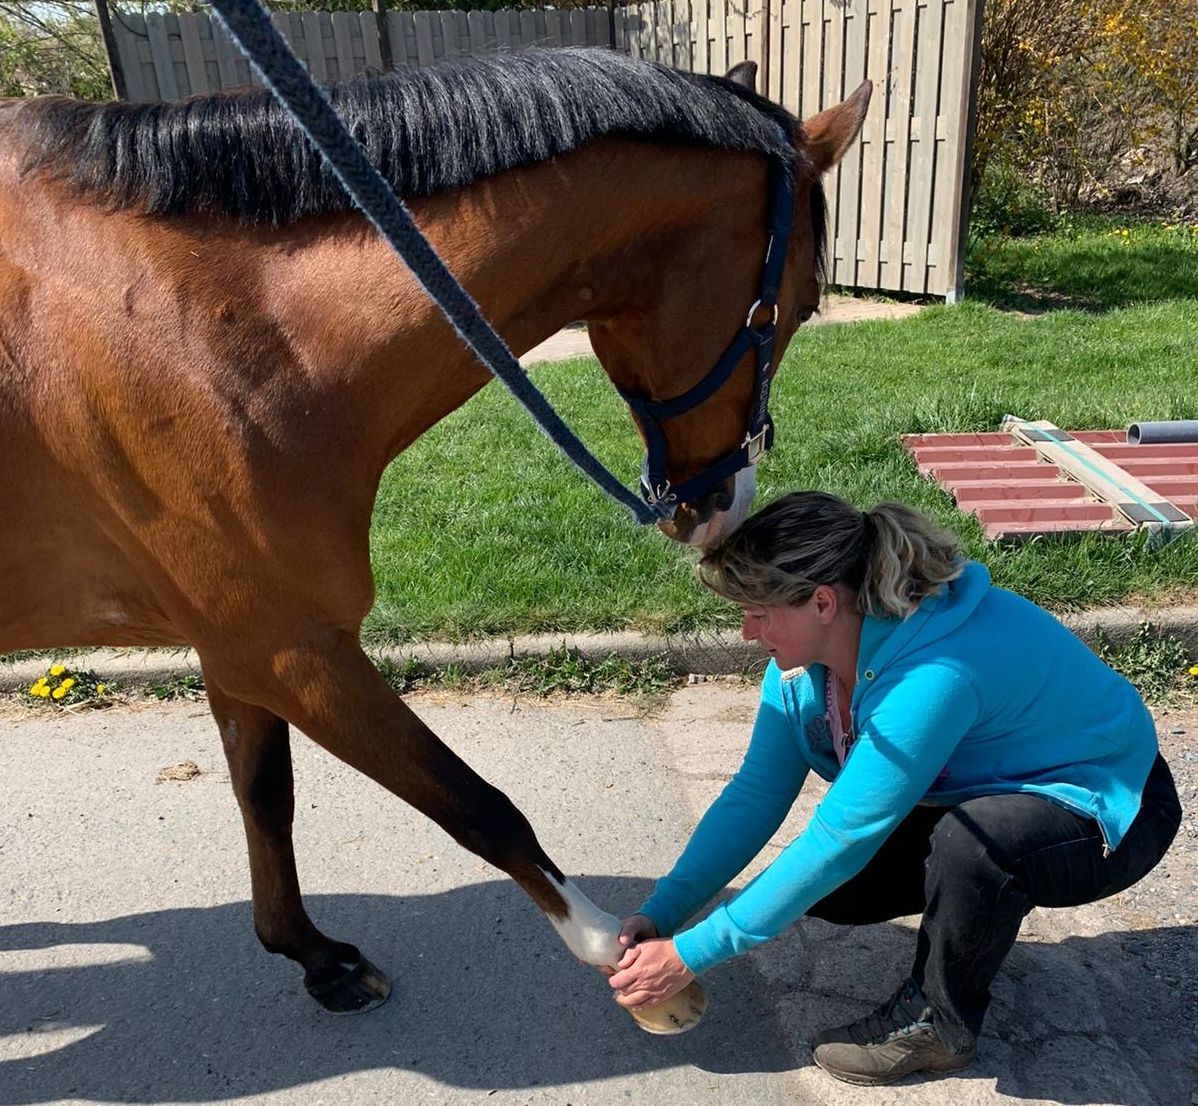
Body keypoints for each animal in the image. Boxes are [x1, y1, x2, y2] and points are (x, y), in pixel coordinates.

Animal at [0, 47, 872, 1035]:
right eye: (793, 308)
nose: (728, 506)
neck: (205, 328)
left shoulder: (239, 649)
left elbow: (266, 799)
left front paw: (313, 956)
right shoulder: (290, 650)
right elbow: (476, 805)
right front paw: (622, 960)